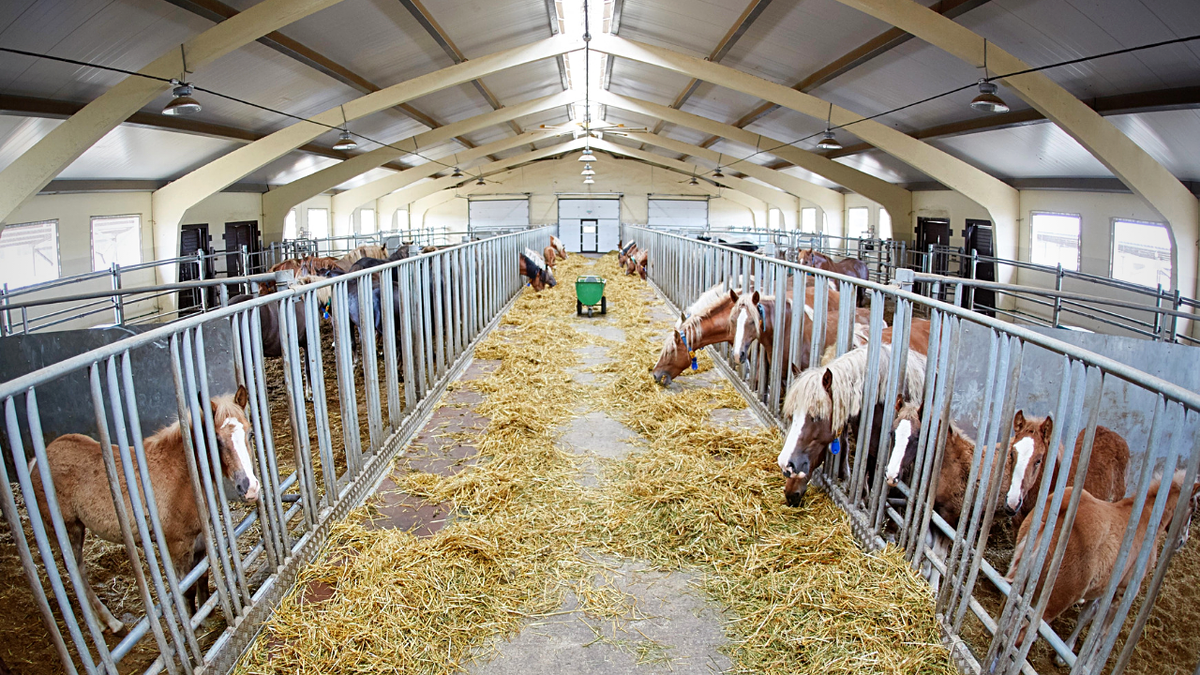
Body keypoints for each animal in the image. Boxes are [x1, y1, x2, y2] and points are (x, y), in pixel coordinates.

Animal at [28, 384, 260, 629]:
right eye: (216, 440)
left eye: (250, 433)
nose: (250, 488)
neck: (183, 474)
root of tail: (36, 462)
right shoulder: (177, 544)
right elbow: (185, 589)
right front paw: (193, 624)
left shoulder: (198, 538)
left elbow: (203, 575)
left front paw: (208, 616)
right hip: (67, 530)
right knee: (77, 573)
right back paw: (110, 623)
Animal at [1003, 468, 1200, 648]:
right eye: (1194, 508)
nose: (1183, 540)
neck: (1146, 519)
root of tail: (1059, 515)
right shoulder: (1121, 591)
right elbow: (1102, 634)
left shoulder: (1100, 588)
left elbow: (1087, 615)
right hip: (1053, 602)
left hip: (1022, 584)